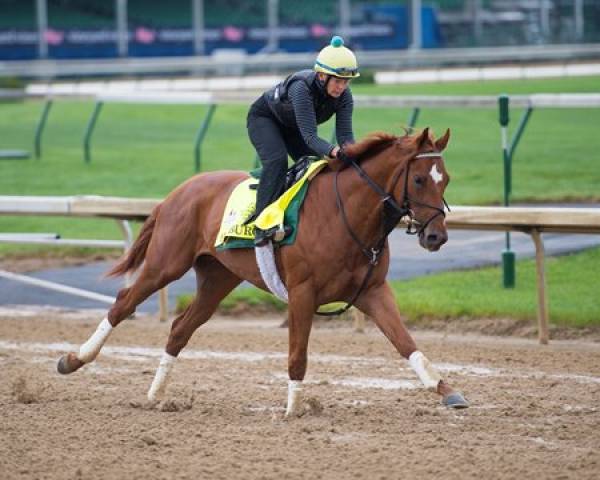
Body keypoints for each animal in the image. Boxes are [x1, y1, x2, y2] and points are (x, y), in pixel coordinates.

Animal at [56, 128, 468, 416]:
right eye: (419, 179)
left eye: (446, 179)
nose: (436, 236)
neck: (346, 215)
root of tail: (178, 191)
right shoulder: (302, 293)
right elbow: (298, 355)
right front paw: (293, 409)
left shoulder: (373, 291)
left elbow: (407, 344)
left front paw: (448, 391)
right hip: (165, 264)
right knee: (123, 303)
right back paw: (73, 360)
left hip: (217, 279)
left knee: (180, 328)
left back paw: (155, 394)